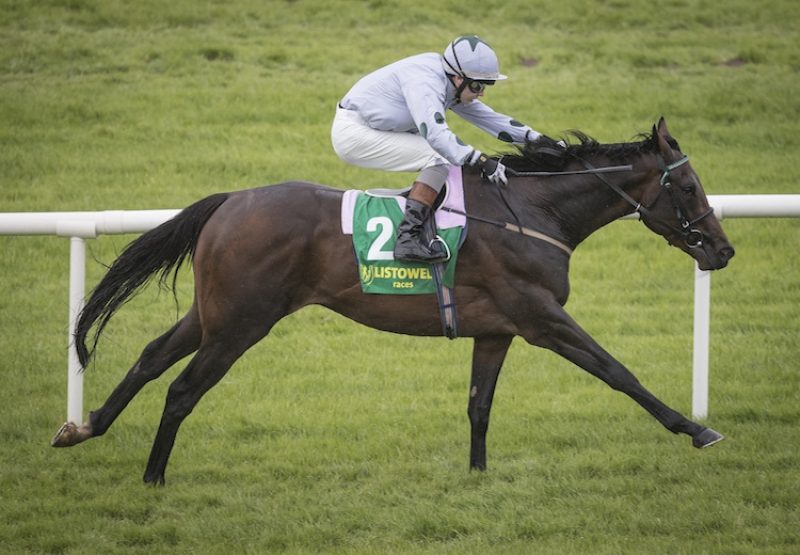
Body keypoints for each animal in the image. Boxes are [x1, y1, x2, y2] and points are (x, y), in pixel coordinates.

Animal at [53, 119, 736, 484]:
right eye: (690, 186)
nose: (724, 250)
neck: (533, 212)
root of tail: (229, 200)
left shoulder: (497, 329)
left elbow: (479, 405)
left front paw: (477, 477)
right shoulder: (541, 316)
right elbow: (618, 371)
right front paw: (697, 429)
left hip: (213, 312)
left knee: (149, 357)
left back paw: (84, 427)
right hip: (241, 323)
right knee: (181, 389)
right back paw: (152, 476)